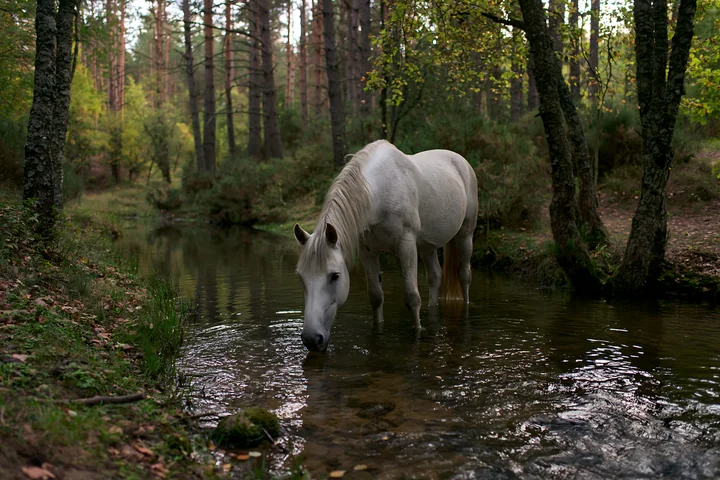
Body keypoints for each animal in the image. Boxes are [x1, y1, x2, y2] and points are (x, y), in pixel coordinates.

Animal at [293, 140, 478, 352]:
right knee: (435, 277)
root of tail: (460, 160)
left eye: (335, 276)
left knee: (464, 275)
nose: (311, 339)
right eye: (301, 276)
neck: (379, 193)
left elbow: (412, 297)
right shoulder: (367, 252)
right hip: (427, 247)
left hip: (465, 234)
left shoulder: (406, 247)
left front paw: (418, 332)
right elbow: (375, 296)